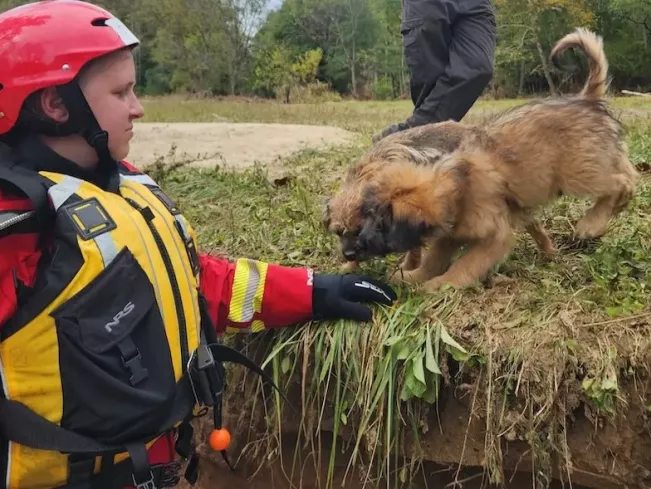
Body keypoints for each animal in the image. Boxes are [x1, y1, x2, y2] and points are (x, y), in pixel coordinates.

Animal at [324, 27, 640, 290]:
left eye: (377, 225)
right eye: (342, 231)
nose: (350, 253)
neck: (458, 185)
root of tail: (586, 99)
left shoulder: (495, 237)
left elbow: (465, 264)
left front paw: (439, 285)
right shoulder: (448, 236)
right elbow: (432, 260)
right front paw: (408, 277)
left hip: (579, 173)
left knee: (622, 182)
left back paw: (591, 223)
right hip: (589, 163)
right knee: (625, 173)